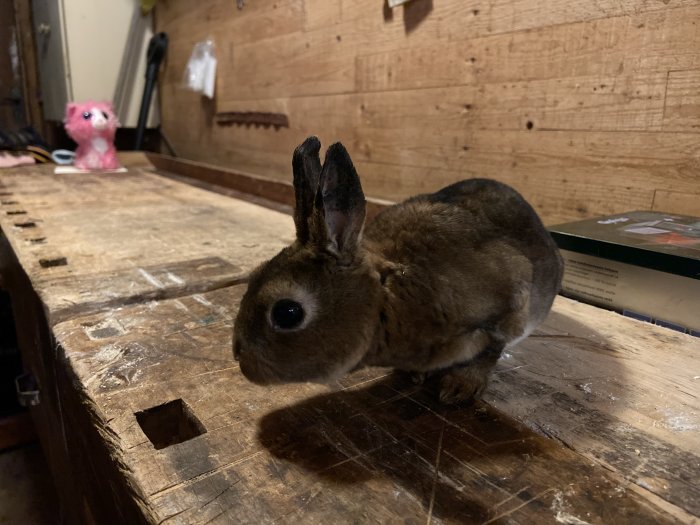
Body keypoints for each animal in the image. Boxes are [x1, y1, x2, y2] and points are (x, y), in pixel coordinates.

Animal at [235, 137, 564, 404]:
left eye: (287, 313)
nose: (238, 354)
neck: (388, 297)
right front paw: (412, 375)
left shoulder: (507, 307)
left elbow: (489, 351)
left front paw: (460, 388)